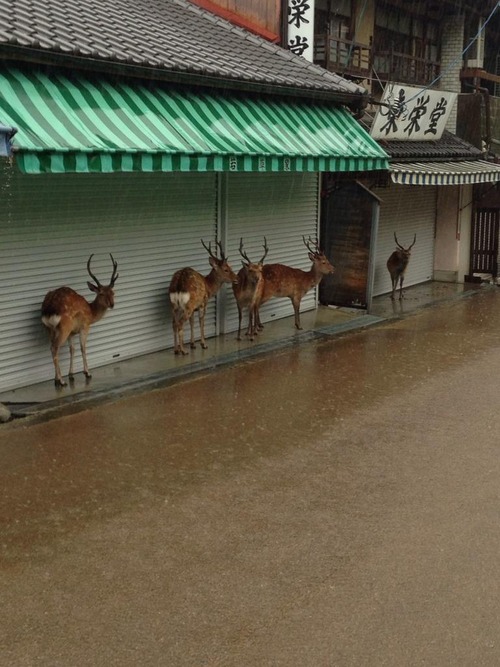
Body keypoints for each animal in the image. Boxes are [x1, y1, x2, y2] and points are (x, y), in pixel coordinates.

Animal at [41, 254, 119, 387]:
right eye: (101, 293)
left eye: (112, 292)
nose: (112, 304)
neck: (91, 313)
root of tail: (49, 308)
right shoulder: (84, 326)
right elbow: (83, 347)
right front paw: (87, 372)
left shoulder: (72, 333)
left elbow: (72, 349)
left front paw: (71, 374)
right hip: (64, 326)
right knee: (54, 348)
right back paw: (61, 381)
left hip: (49, 329)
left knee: (52, 347)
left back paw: (56, 379)